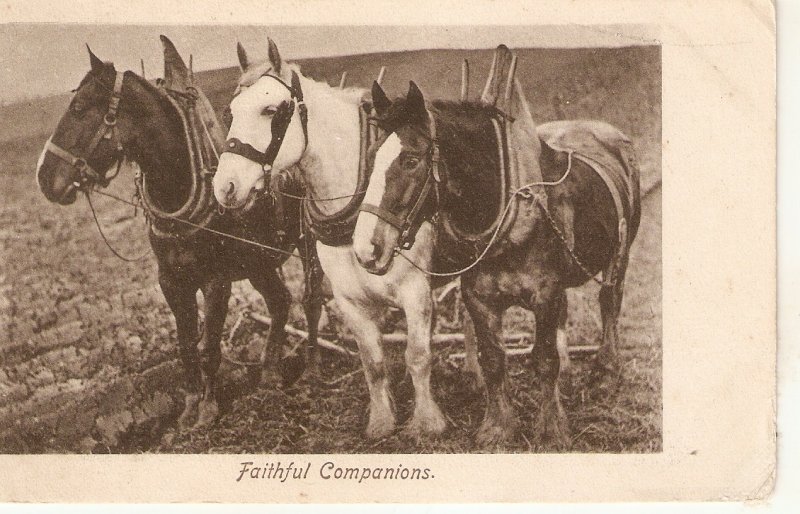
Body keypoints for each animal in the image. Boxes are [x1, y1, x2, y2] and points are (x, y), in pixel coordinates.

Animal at [34, 37, 322, 428]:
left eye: (78, 109)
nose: (44, 178)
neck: (181, 180)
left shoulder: (216, 280)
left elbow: (209, 346)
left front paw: (209, 409)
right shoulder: (171, 280)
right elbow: (185, 346)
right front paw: (189, 406)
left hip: (309, 243)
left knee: (312, 297)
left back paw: (311, 368)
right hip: (258, 262)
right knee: (280, 302)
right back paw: (270, 375)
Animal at [211, 40, 450, 438]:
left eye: (270, 110)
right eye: (231, 112)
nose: (225, 187)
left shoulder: (416, 291)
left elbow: (417, 356)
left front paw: (428, 422)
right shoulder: (349, 299)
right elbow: (373, 362)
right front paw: (381, 422)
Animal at [356, 79, 644, 444]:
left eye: (410, 160)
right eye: (371, 157)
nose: (367, 248)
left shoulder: (545, 296)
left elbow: (544, 360)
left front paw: (551, 426)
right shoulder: (479, 299)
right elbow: (493, 360)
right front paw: (497, 426)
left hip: (620, 252)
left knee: (610, 302)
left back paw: (606, 371)